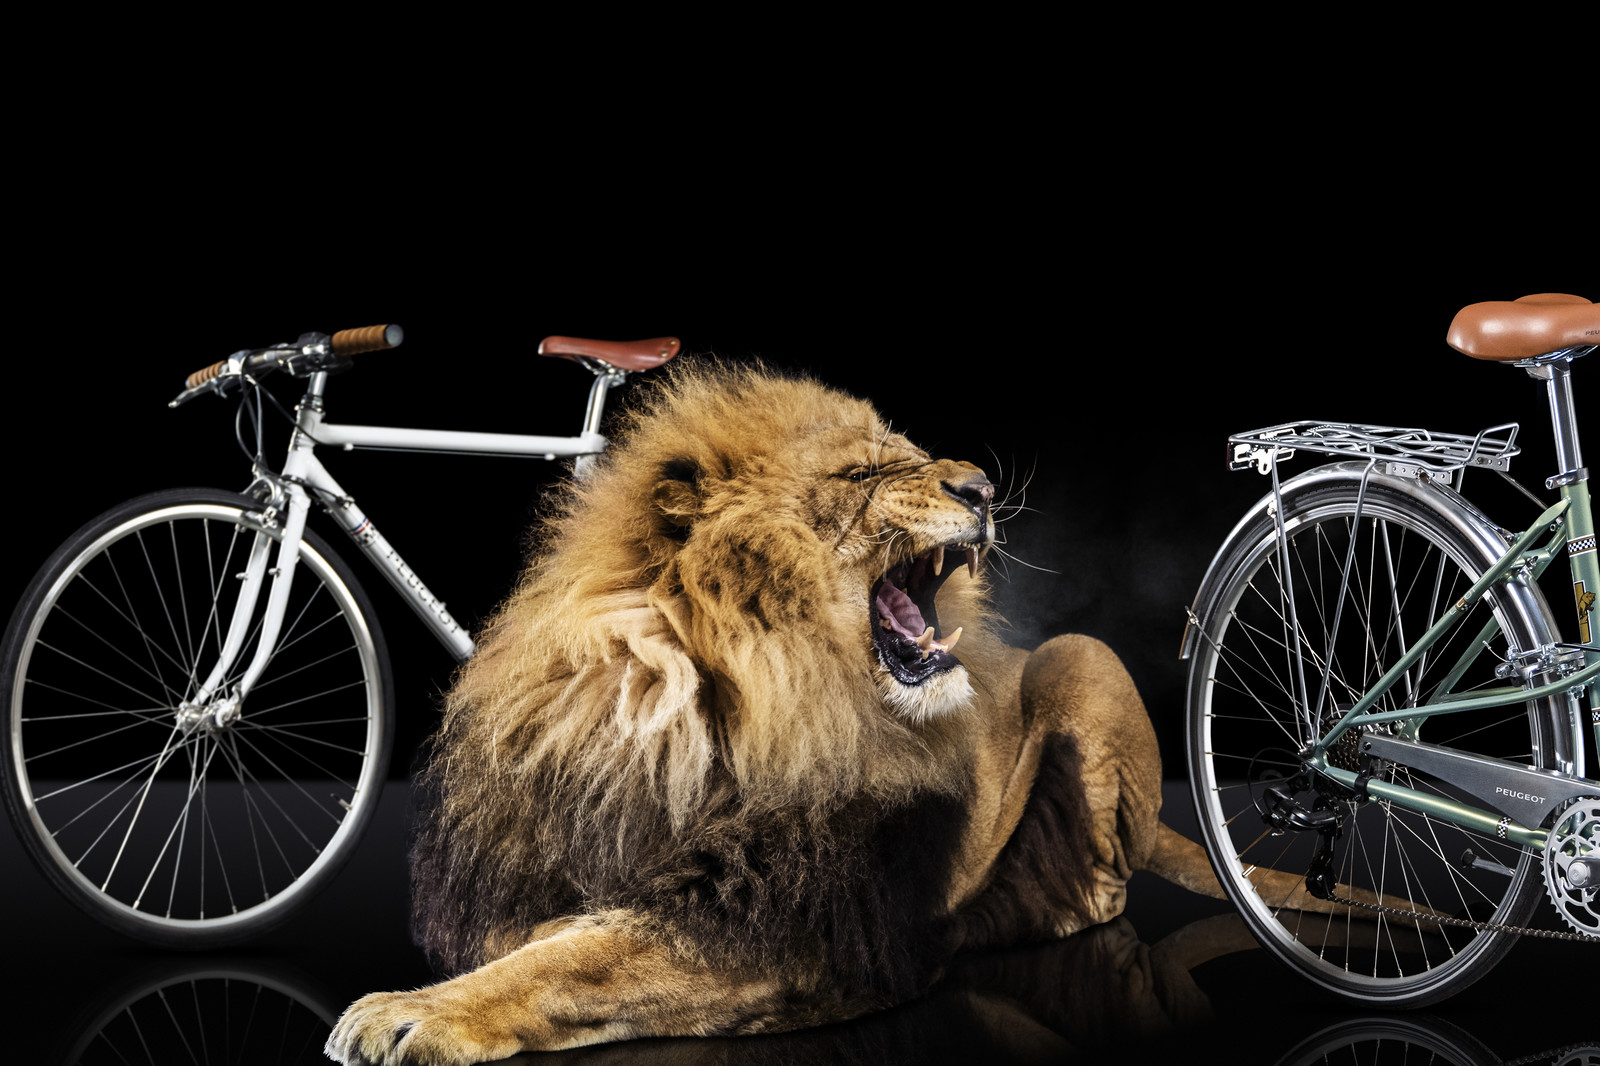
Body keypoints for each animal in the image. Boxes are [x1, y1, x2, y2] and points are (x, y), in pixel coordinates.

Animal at [326, 360, 1235, 1066]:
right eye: (863, 475)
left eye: (915, 460)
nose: (982, 488)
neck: (700, 697)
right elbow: (542, 939)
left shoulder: (788, 921)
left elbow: (576, 958)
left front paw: (416, 1010)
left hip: (1081, 655)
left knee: (1101, 890)